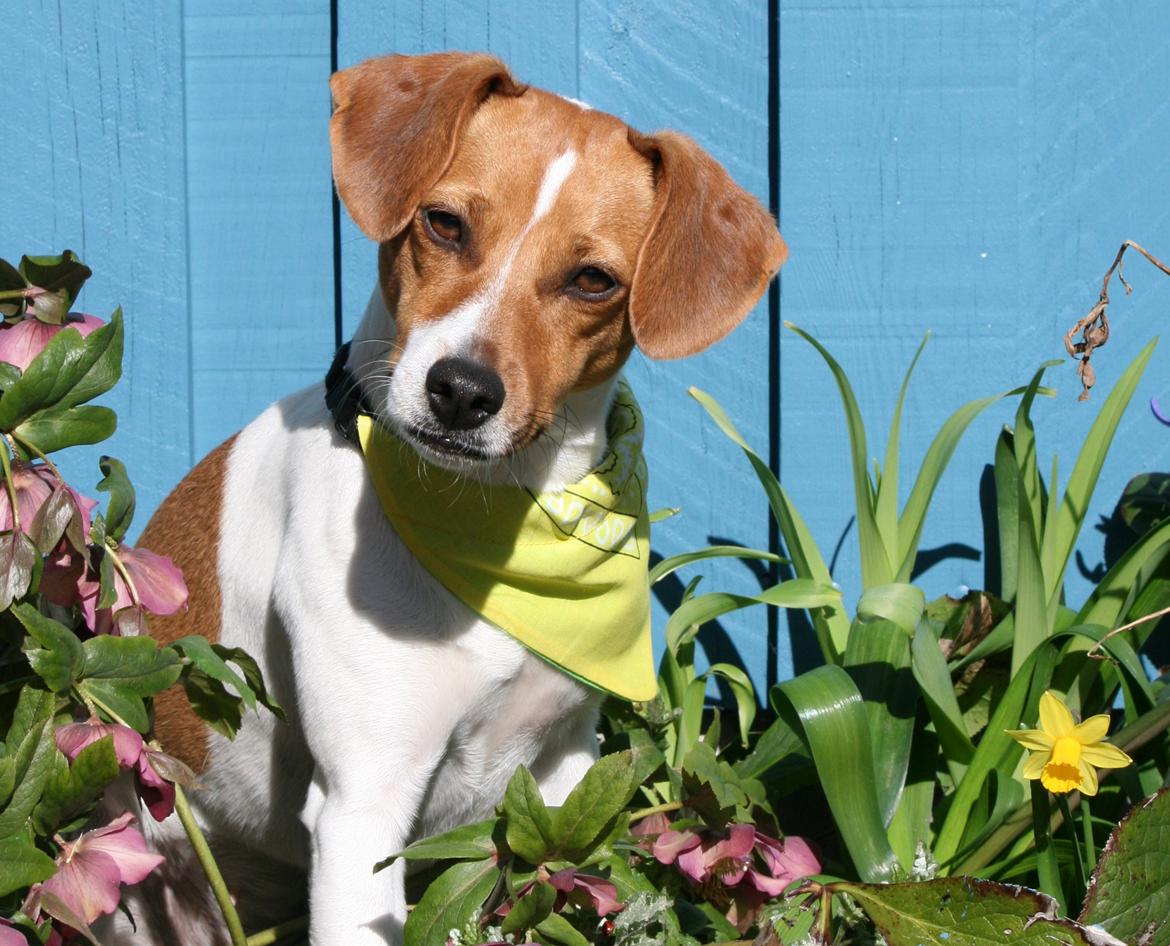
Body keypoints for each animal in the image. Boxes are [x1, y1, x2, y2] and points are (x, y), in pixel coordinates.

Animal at [111, 49, 786, 944]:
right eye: (444, 224)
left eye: (593, 280)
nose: (462, 390)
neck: (496, 525)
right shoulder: (363, 806)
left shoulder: (564, 773)